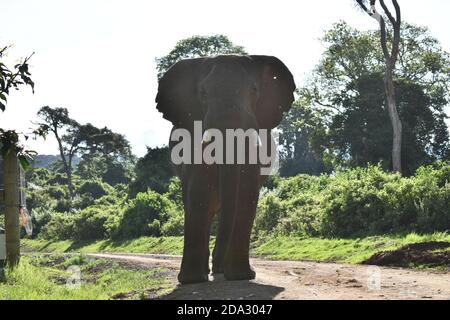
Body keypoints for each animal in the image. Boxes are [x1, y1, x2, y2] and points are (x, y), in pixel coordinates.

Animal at [155, 55, 296, 284]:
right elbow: (198, 192)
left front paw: (241, 276)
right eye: (203, 94)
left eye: (254, 91)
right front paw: (192, 280)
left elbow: (247, 193)